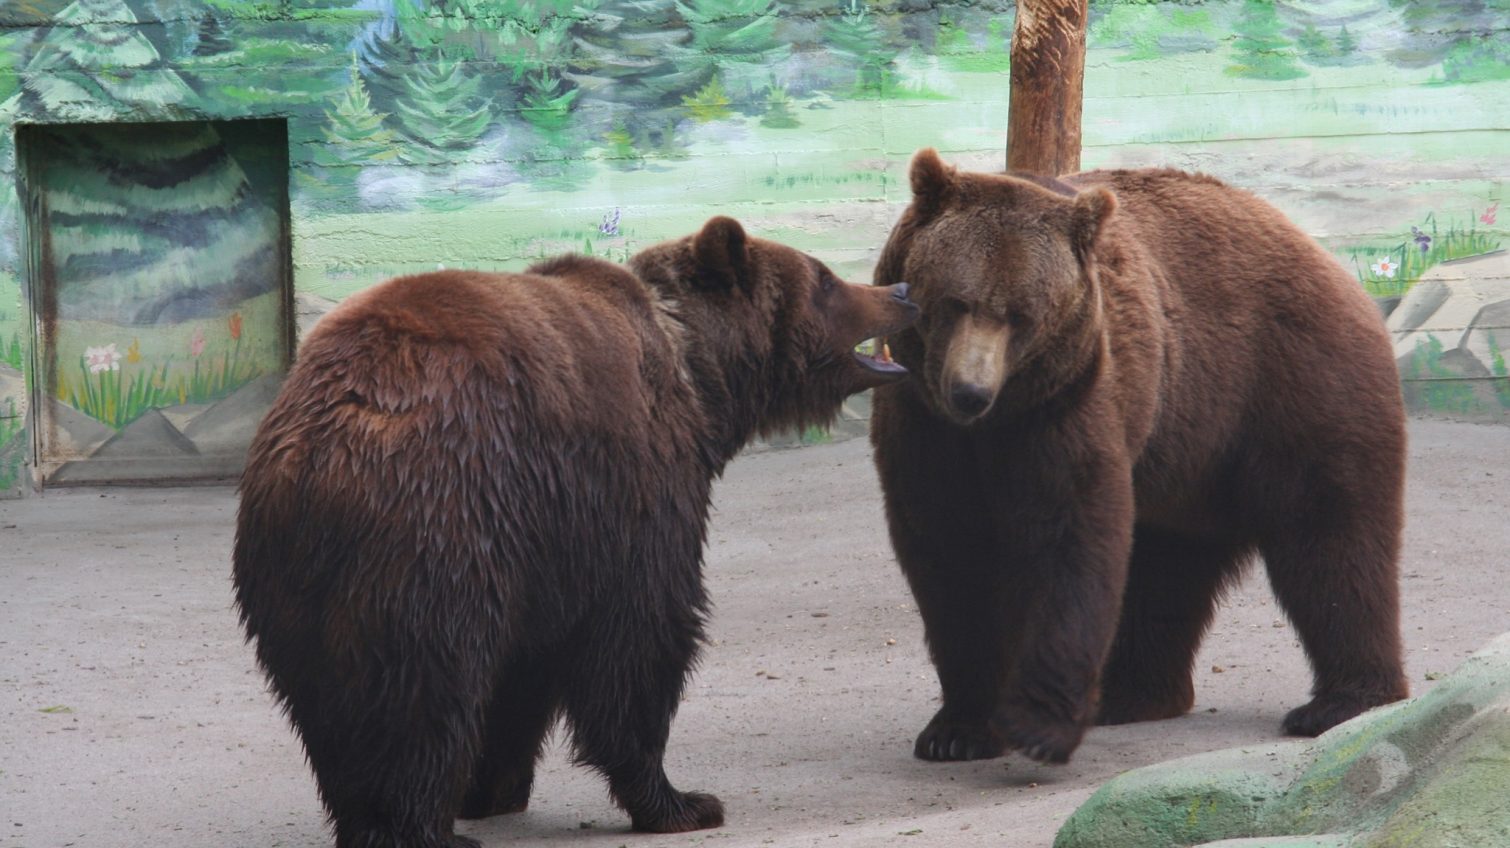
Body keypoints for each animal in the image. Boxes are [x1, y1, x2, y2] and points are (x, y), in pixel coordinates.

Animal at [232, 217, 918, 844]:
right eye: (824, 278)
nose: (901, 290)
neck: (699, 376)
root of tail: (320, 449)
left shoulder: (545, 543)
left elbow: (525, 665)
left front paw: (494, 786)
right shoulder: (625, 488)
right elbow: (643, 632)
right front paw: (683, 800)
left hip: (291, 578)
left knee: (326, 700)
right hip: (435, 527)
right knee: (423, 685)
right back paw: (421, 828)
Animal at [869, 150, 1407, 766]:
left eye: (1023, 315)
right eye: (955, 302)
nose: (969, 392)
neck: (991, 427)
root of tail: (1326, 257)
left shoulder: (1067, 400)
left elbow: (1067, 543)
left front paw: (1037, 724)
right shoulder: (921, 419)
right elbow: (949, 550)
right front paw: (957, 730)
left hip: (1293, 382)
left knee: (1331, 539)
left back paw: (1342, 701)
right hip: (1186, 456)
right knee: (1164, 569)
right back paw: (1133, 693)